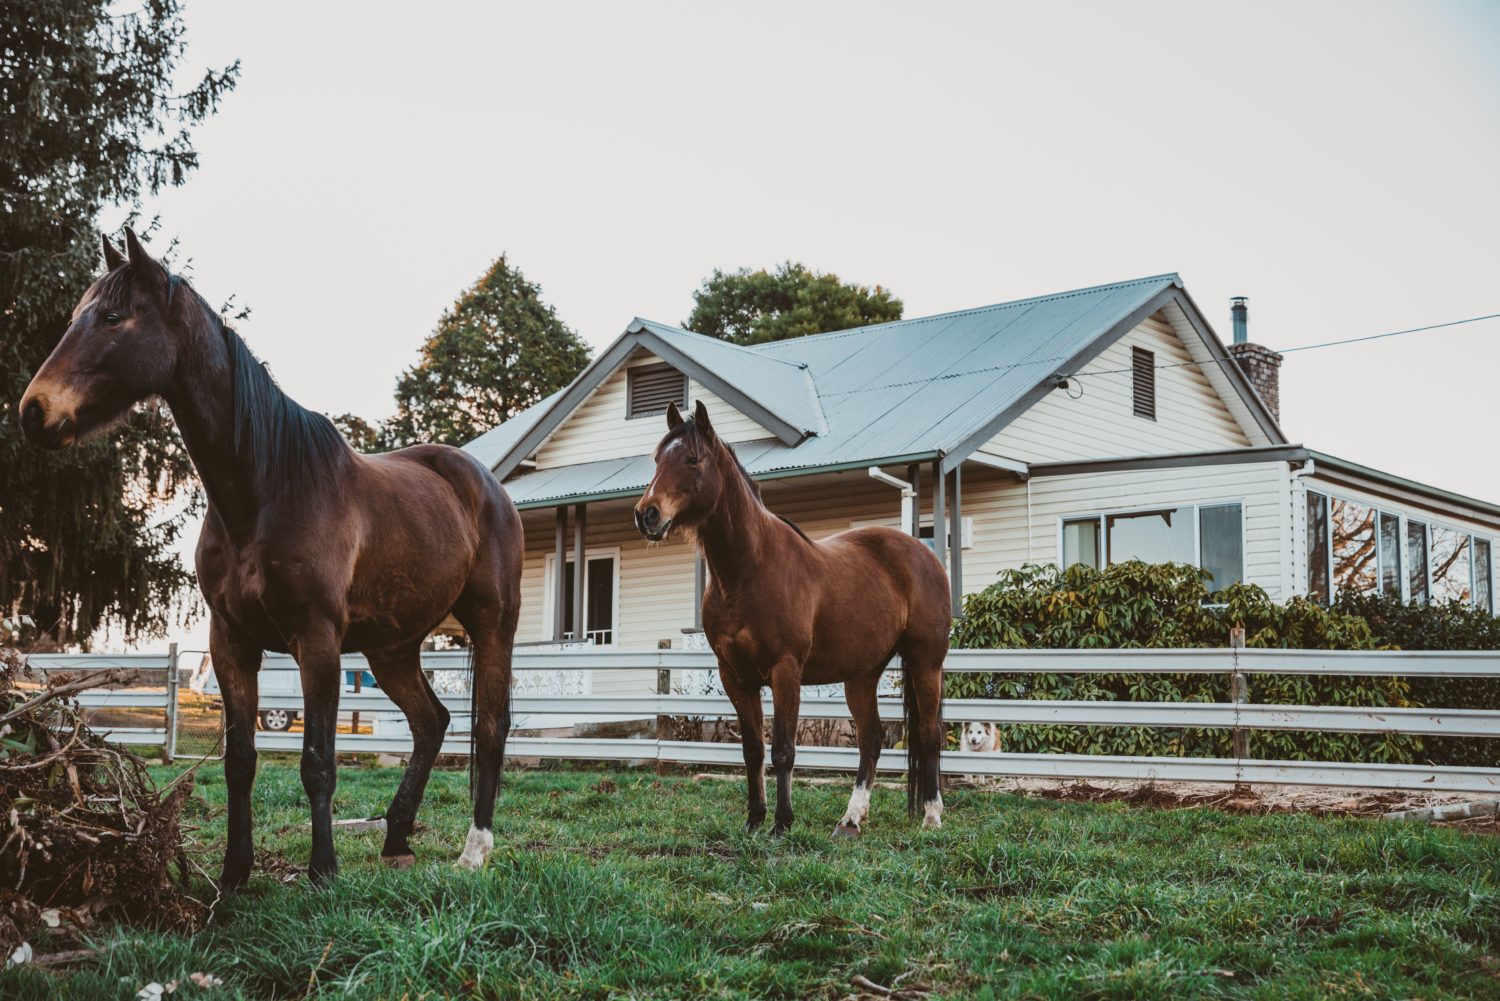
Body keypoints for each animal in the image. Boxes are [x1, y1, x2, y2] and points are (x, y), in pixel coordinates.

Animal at [14, 232, 522, 882]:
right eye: (77, 315)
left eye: (112, 317)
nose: (34, 411)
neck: (264, 491)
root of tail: (484, 483)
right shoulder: (232, 641)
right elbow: (240, 761)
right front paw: (234, 875)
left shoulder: (317, 640)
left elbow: (318, 762)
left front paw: (323, 870)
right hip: (392, 647)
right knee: (431, 723)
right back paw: (396, 838)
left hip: (491, 625)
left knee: (489, 727)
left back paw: (474, 849)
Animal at [636, 402, 948, 834]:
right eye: (656, 460)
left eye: (692, 459)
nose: (646, 514)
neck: (748, 570)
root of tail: (924, 552)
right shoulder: (736, 677)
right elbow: (753, 750)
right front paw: (754, 820)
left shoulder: (785, 671)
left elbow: (783, 749)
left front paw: (782, 823)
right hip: (862, 675)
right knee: (870, 739)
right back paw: (850, 819)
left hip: (925, 662)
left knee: (929, 733)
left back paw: (932, 816)